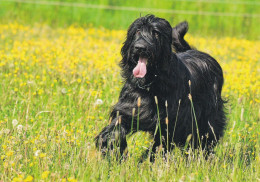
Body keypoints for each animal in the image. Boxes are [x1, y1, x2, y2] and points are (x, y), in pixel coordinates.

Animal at [95, 14, 225, 160]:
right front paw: (115, 149)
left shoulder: (171, 123)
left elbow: (161, 145)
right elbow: (115, 128)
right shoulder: (129, 109)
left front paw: (148, 161)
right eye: (138, 31)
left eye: (156, 33)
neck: (151, 84)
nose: (140, 47)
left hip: (208, 118)